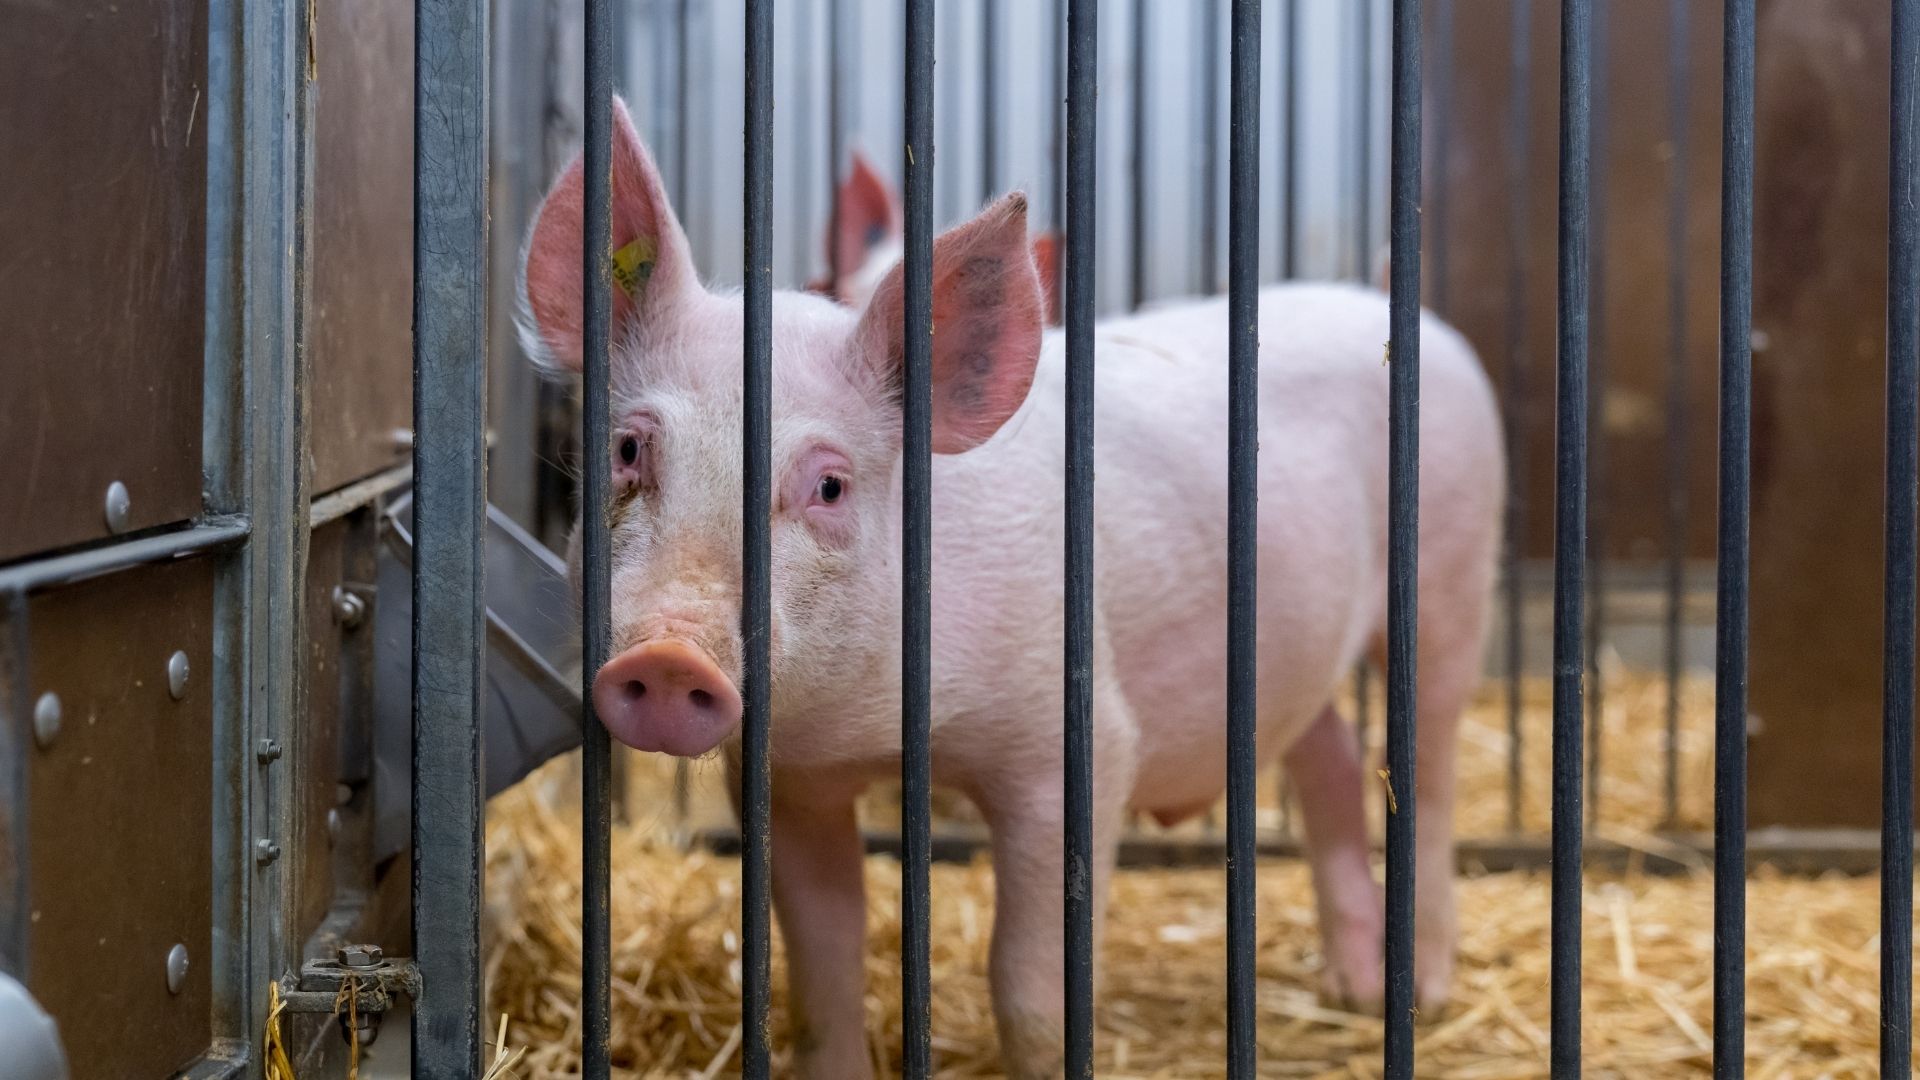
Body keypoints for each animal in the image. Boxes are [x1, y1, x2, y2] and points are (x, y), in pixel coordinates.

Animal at [518, 96, 1505, 1068]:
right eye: (628, 449)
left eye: (829, 485)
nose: (669, 658)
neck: (887, 730)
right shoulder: (797, 777)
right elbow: (824, 964)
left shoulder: (1074, 739)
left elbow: (1032, 990)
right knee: (1330, 756)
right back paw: (1351, 988)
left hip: (1451, 572)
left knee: (1428, 776)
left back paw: (1421, 990)